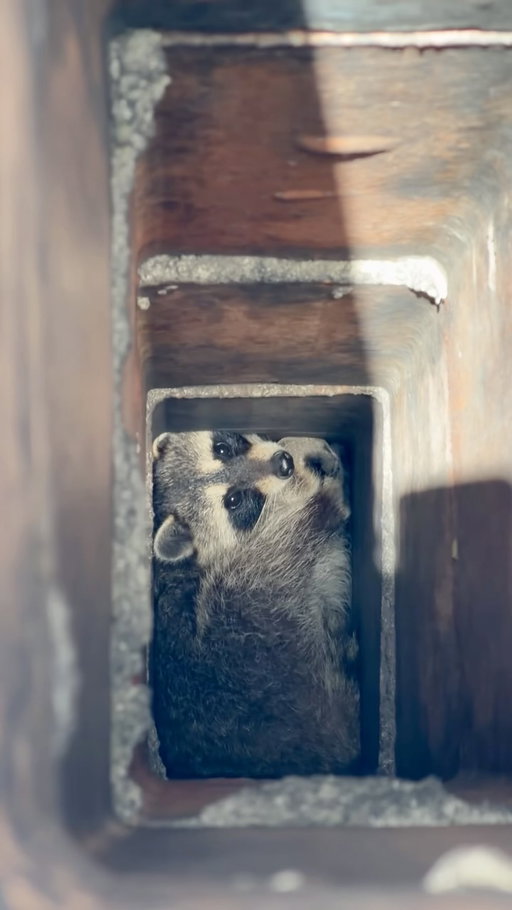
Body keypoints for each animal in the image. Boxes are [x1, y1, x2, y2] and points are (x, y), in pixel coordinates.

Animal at [150, 430, 359, 778]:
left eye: (223, 449)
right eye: (234, 501)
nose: (284, 464)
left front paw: (296, 446)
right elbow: (293, 507)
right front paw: (305, 467)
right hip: (251, 611)